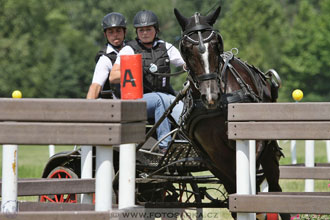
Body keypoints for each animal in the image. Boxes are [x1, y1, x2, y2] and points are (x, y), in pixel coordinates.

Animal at [174, 6, 290, 219]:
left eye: (216, 44)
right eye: (185, 49)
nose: (210, 96)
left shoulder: (256, 141)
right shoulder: (215, 153)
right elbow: (234, 186)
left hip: (269, 151)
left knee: (275, 189)